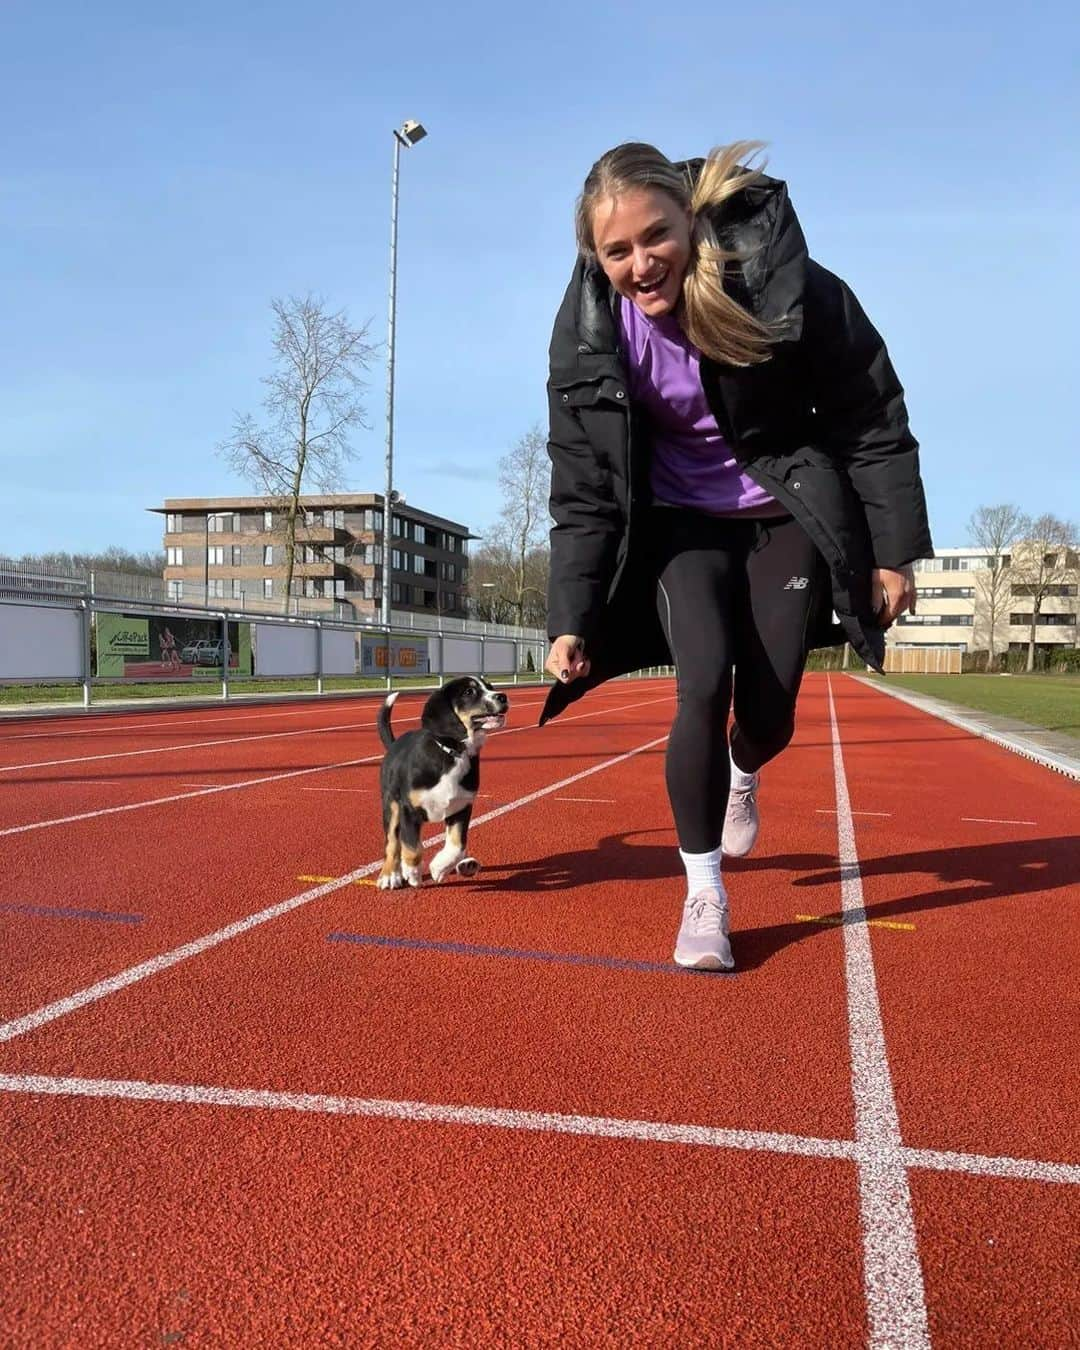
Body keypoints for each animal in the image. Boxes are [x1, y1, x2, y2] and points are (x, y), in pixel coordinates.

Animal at [375, 680, 510, 891]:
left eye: (490, 686)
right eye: (469, 691)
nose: (503, 697)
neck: (453, 753)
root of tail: (395, 744)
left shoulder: (461, 808)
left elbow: (457, 846)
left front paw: (438, 868)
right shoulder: (408, 810)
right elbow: (411, 847)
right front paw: (411, 872)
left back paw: (466, 866)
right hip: (392, 806)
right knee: (391, 842)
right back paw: (390, 875)